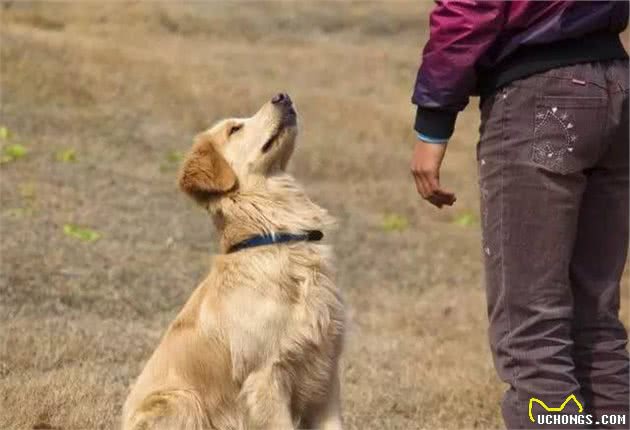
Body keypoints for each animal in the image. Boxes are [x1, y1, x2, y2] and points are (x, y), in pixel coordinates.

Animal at [122, 95, 346, 430]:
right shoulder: (266, 377)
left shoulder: (325, 374)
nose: (283, 96)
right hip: (181, 400)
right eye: (234, 129)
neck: (275, 239)